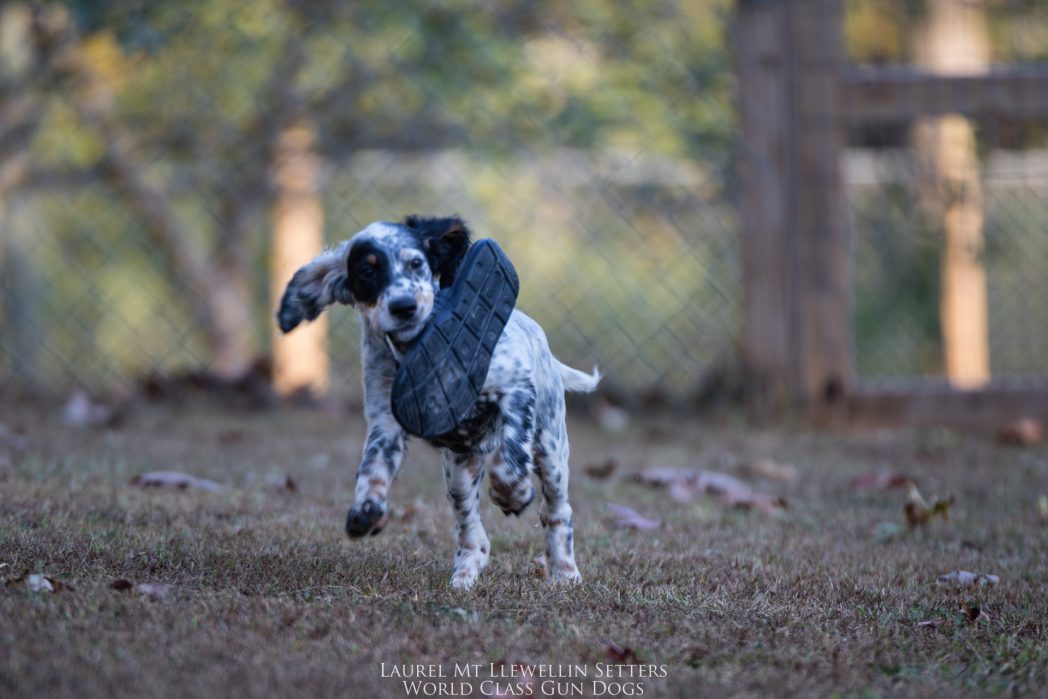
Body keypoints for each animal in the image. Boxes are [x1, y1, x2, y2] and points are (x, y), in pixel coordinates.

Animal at [274, 215, 603, 586]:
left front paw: (512, 492)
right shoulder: (386, 421)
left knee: (558, 511)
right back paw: (465, 573)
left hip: (551, 450)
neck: (413, 349)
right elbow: (373, 467)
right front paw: (367, 508)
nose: (403, 307)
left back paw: (564, 571)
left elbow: (510, 457)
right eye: (367, 271)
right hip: (459, 474)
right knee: (472, 531)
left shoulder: (515, 388)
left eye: (416, 264)